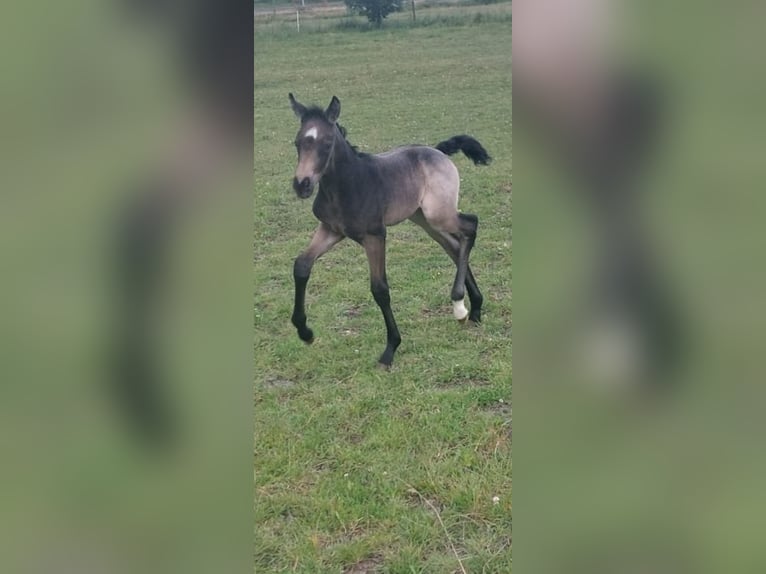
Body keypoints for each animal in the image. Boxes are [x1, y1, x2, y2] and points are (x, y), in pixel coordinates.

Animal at [288, 92, 492, 366]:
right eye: (298, 142)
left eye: (327, 143)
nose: (302, 184)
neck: (345, 186)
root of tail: (437, 151)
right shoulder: (330, 229)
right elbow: (301, 266)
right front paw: (305, 331)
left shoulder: (375, 235)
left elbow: (380, 289)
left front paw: (390, 348)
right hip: (423, 219)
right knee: (454, 245)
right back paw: (474, 308)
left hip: (438, 214)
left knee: (471, 226)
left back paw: (460, 305)